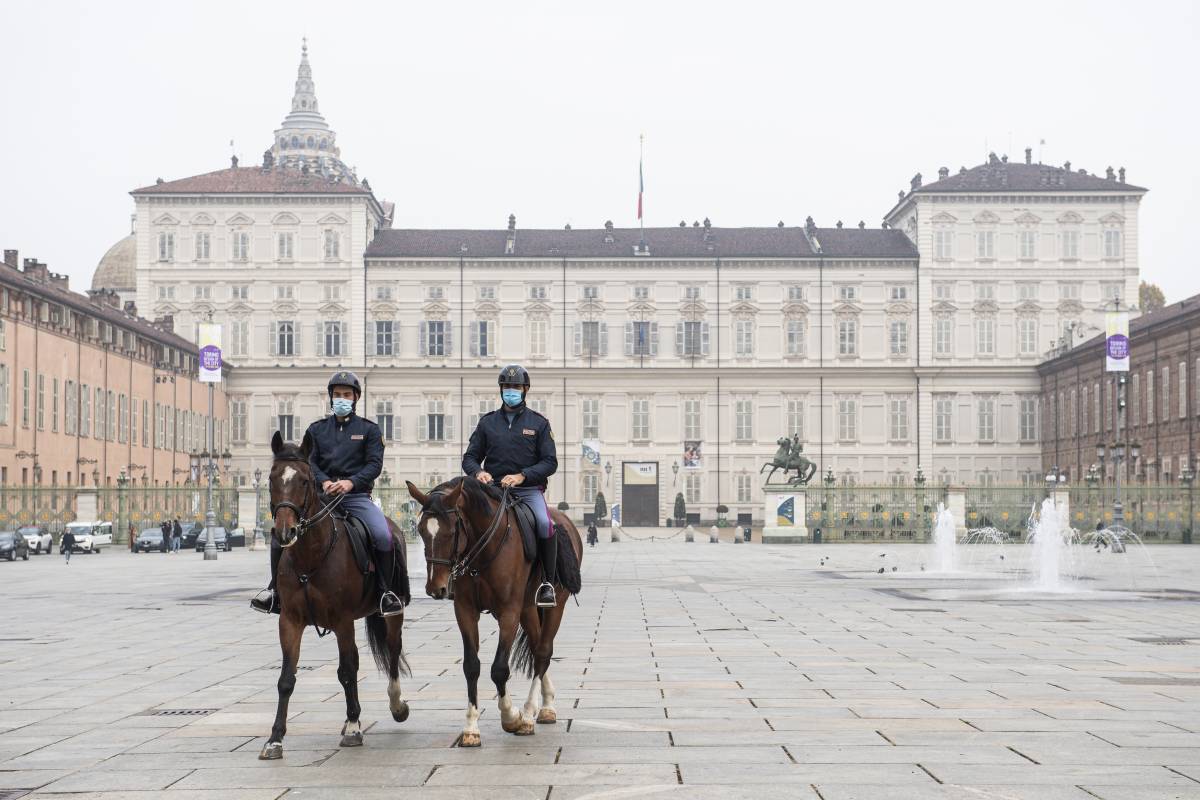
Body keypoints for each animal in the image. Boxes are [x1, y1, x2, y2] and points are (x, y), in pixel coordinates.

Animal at [260, 434, 410, 762]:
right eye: (271, 478)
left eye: (304, 481)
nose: (285, 531)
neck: (310, 556)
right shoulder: (289, 621)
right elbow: (286, 679)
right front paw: (275, 739)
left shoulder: (342, 620)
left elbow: (347, 670)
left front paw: (354, 728)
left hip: (391, 614)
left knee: (392, 654)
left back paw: (395, 706)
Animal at [408, 474, 585, 753]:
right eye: (422, 530)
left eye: (452, 531)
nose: (436, 588)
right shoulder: (465, 611)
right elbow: (471, 666)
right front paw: (471, 728)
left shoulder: (509, 612)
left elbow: (499, 668)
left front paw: (511, 717)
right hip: (528, 609)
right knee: (537, 650)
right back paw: (546, 705)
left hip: (556, 604)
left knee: (543, 652)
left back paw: (529, 714)